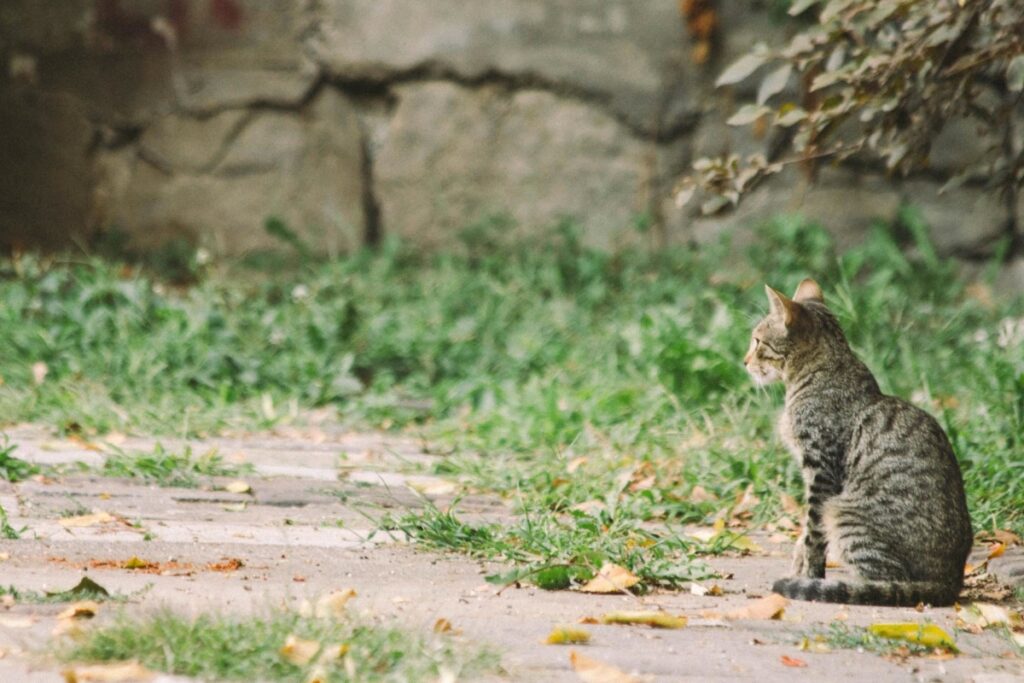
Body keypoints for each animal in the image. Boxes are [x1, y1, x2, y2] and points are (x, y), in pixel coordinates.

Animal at [745, 274, 974, 606]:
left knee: (889, 581)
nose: (744, 361)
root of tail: (950, 582)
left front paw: (808, 577)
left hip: (843, 512)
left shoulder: (821, 470)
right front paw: (800, 567)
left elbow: (812, 534)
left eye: (758, 341)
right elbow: (804, 534)